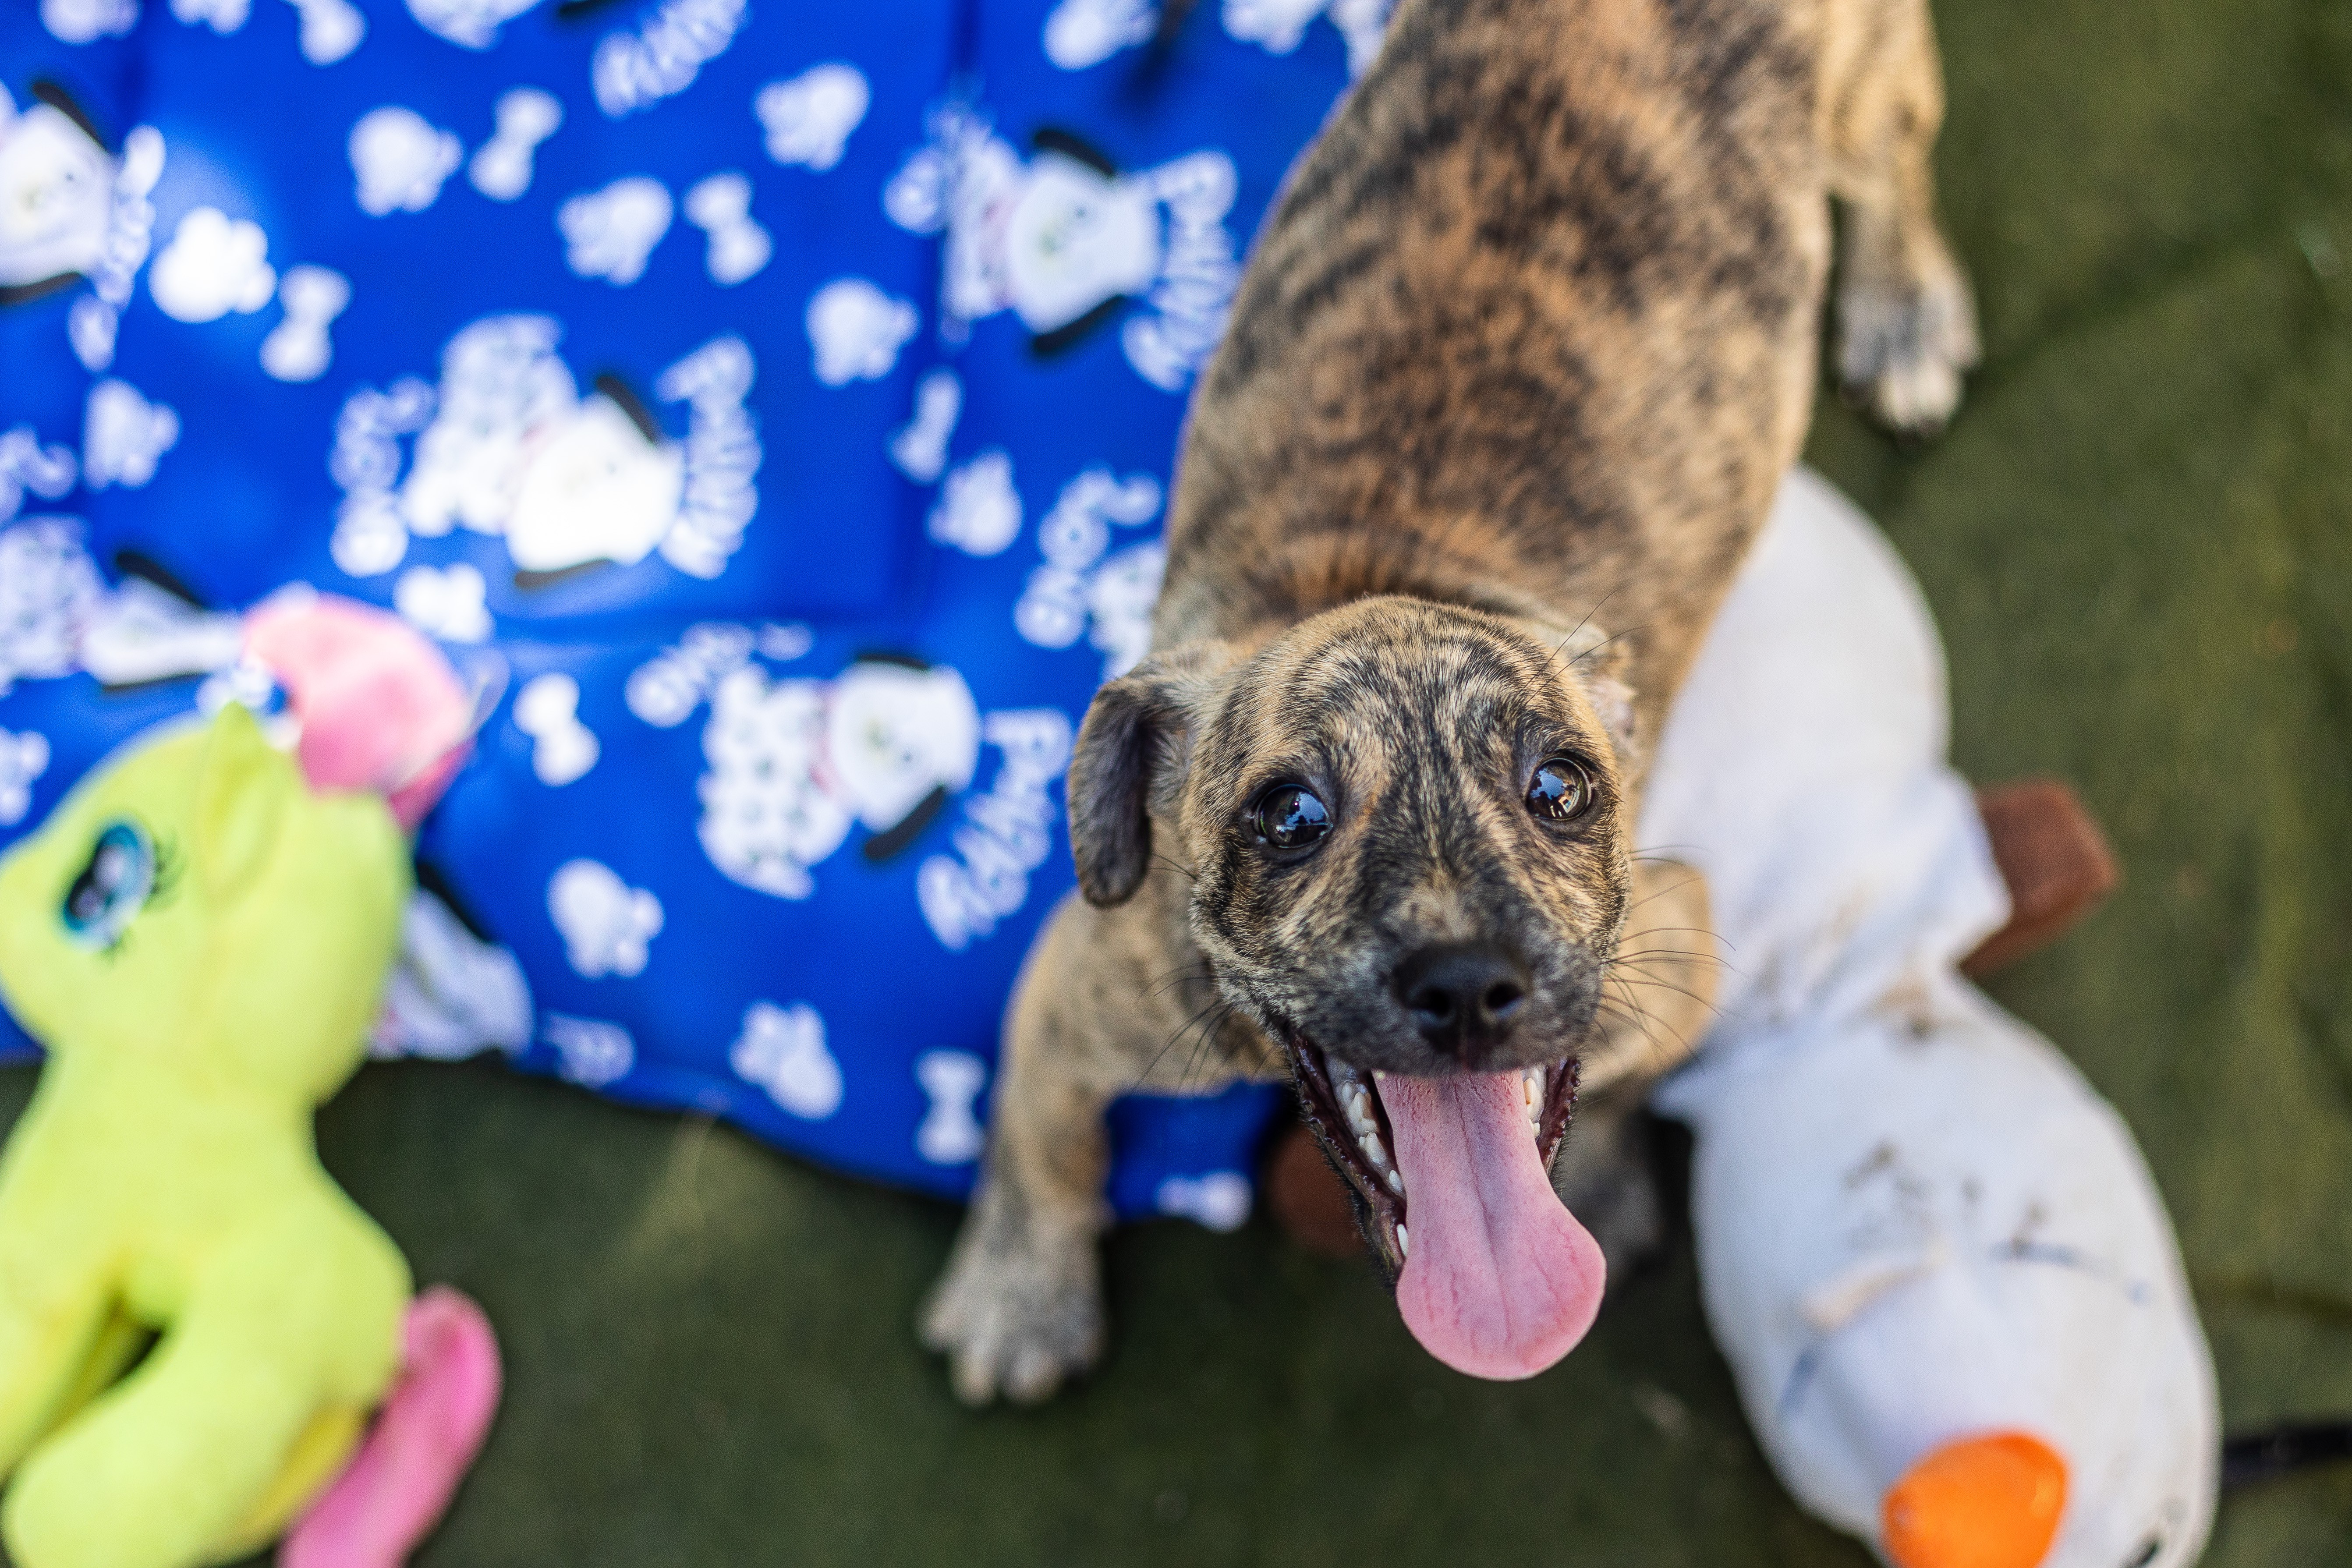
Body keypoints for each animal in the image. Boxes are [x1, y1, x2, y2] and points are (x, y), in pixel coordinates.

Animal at [917, 0, 1966, 1410]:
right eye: (1287, 815)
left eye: (1560, 788)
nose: (1471, 989)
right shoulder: (1078, 991)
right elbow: (1038, 1134)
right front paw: (1021, 1289)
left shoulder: (1675, 952)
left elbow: (1622, 1078)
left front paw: (1606, 1169)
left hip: (1861, 97)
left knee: (1897, 163)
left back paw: (1902, 308)